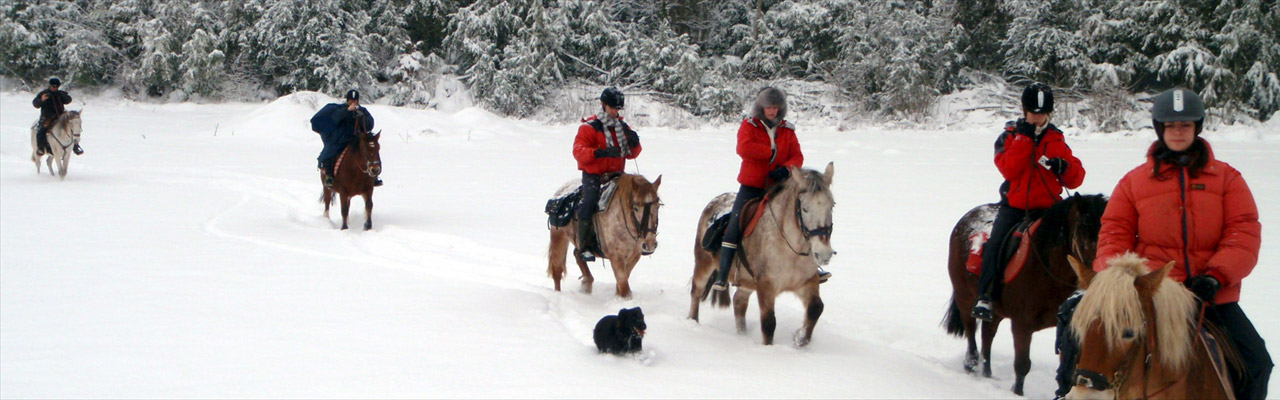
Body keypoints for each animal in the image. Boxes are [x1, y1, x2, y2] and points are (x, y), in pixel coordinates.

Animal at [686, 162, 834, 346]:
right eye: (805, 208)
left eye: (832, 205)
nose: (824, 253)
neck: (791, 249)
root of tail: (714, 202)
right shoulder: (765, 286)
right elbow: (769, 323)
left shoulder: (807, 281)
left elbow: (816, 308)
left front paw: (800, 340)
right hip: (703, 265)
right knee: (696, 292)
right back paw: (693, 322)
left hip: (746, 280)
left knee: (739, 301)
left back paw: (742, 334)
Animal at [942, 193, 1111, 394]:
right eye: (1083, 227)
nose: (1100, 271)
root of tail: (968, 217)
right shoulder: (1021, 325)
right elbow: (1022, 365)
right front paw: (1017, 393)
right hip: (964, 296)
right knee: (970, 331)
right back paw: (971, 365)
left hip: (996, 310)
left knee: (987, 334)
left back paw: (987, 372)